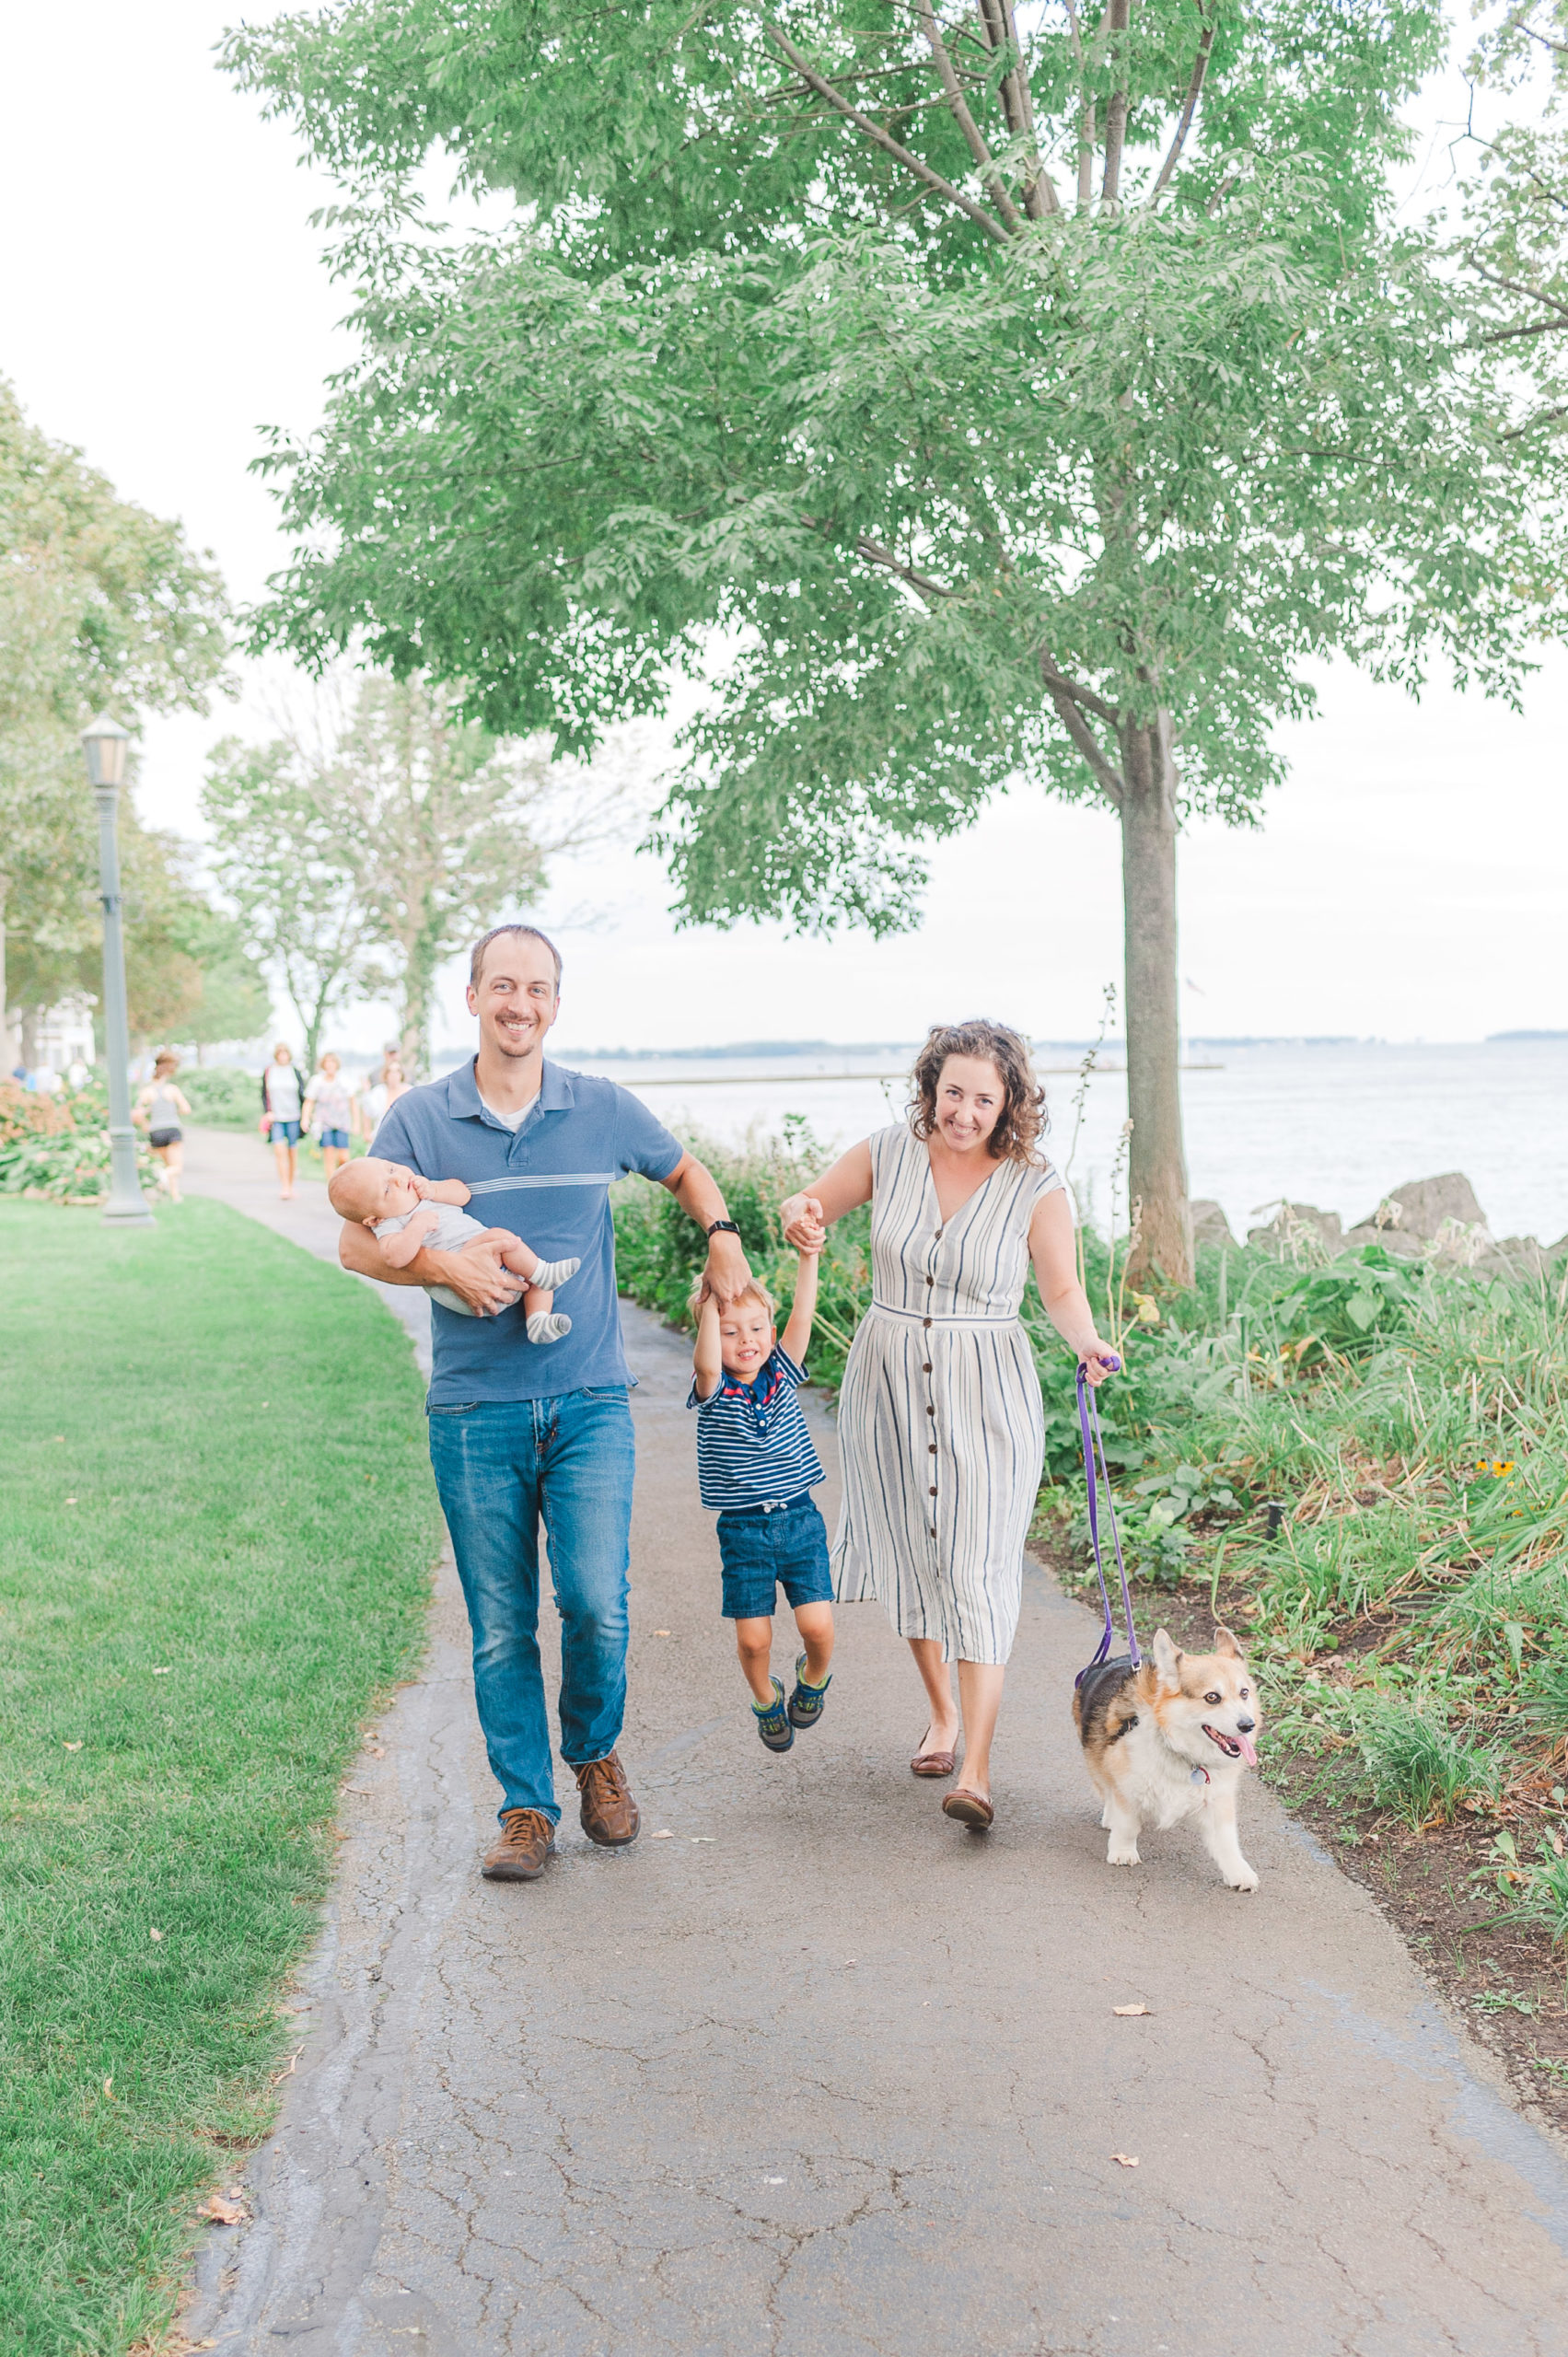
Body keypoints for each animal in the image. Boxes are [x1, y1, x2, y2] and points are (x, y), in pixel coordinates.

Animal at [1074, 1631, 1263, 1886]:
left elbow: (1227, 1842)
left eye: (1244, 1693)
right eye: (1212, 1697)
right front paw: (1123, 1851)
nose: (1247, 1725)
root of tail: (1104, 1663)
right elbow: (1127, 1824)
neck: (1181, 1750)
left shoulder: (1218, 1801)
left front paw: (1239, 1873)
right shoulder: (1127, 1787)